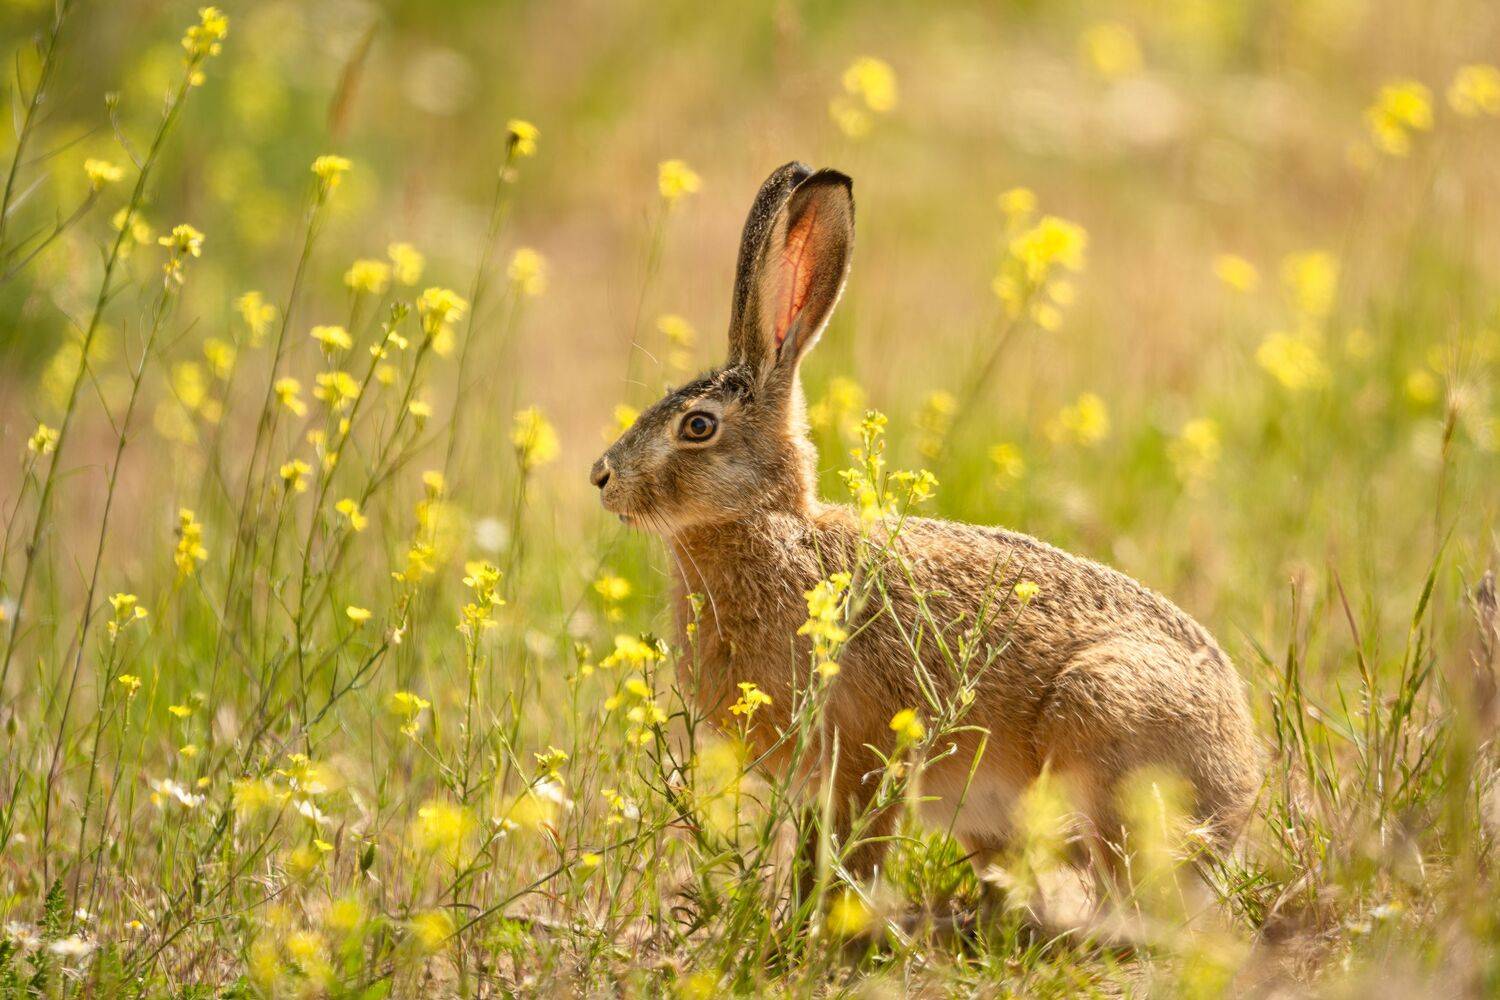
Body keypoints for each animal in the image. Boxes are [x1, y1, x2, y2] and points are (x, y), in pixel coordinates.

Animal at [589, 161, 1261, 892]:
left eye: (698, 426)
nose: (601, 476)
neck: (769, 524)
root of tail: (1241, 782)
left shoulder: (863, 753)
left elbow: (850, 852)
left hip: (1102, 718)